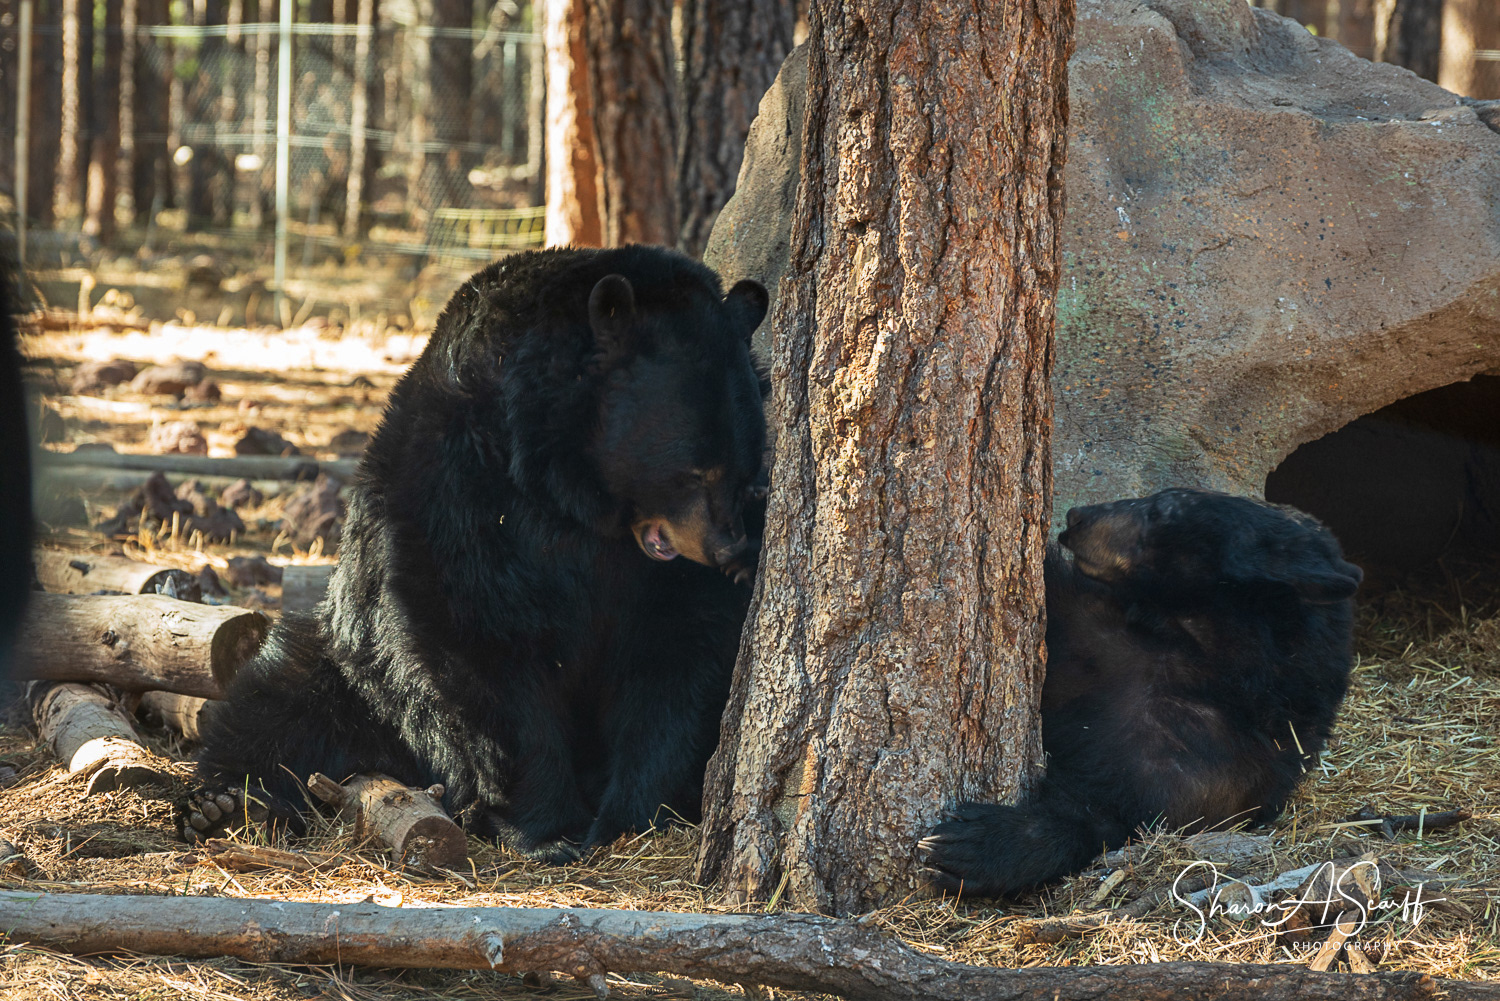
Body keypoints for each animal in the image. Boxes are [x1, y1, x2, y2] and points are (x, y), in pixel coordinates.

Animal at [186, 246, 770, 862]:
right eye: (693, 470)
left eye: (746, 470)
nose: (727, 549)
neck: (577, 497)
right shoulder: (466, 484)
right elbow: (480, 640)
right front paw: (547, 830)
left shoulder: (662, 577)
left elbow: (679, 653)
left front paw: (634, 817)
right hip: (357, 670)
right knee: (280, 701)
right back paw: (224, 804)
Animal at [922, 488, 1363, 897]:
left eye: (1160, 510)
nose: (1077, 515)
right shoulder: (1102, 638)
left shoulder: (1210, 767)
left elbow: (1111, 812)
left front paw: (970, 845)